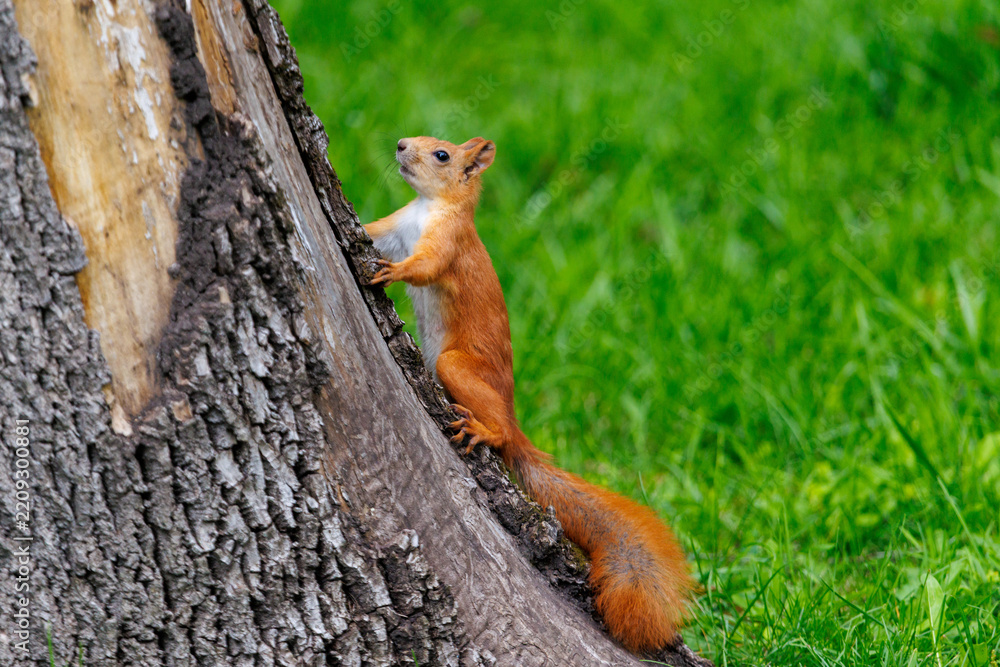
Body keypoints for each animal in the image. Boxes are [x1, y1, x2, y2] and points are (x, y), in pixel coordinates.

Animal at [363, 136, 694, 654]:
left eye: (442, 155)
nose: (399, 144)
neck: (428, 206)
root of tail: (516, 426)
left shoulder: (448, 243)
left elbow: (425, 265)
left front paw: (390, 273)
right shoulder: (396, 227)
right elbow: (373, 232)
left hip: (456, 368)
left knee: (497, 431)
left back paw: (485, 431)